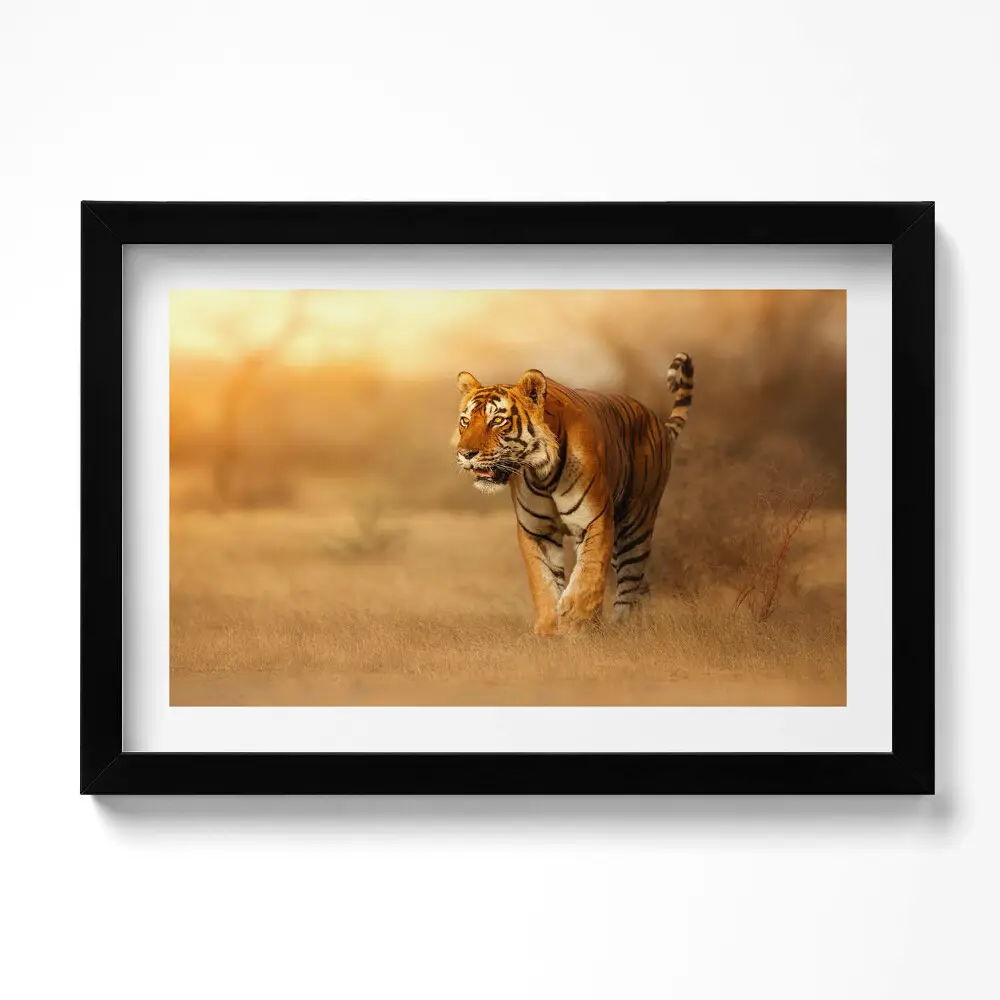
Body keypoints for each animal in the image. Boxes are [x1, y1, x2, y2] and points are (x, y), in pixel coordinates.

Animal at [453, 353, 694, 635]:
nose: (465, 453)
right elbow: (543, 581)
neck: (542, 474)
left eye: (497, 421)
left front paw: (576, 622)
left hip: (635, 525)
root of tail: (658, 422)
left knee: (630, 583)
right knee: (640, 586)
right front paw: (549, 629)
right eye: (465, 421)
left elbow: (588, 573)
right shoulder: (537, 531)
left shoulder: (595, 520)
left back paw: (623, 626)